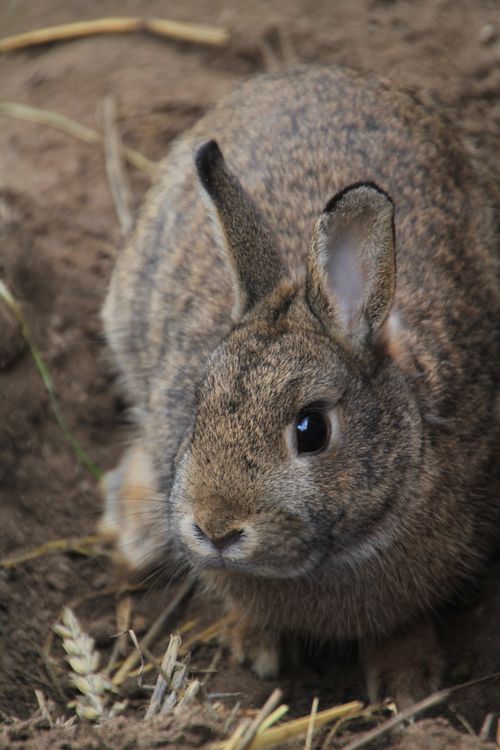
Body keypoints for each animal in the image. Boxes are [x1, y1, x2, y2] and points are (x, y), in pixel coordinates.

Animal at [99, 65, 500, 708]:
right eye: (198, 407)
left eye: (311, 430)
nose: (215, 529)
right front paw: (252, 646)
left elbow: (404, 623)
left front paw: (407, 683)